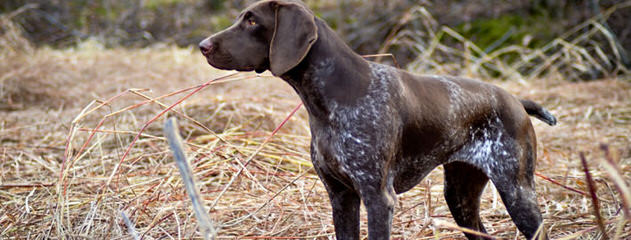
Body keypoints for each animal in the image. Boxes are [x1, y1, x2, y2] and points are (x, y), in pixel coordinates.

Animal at [200, 0, 556, 239]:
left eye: (251, 21)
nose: (203, 45)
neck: (330, 97)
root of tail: (515, 101)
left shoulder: (377, 198)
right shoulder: (341, 197)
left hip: (517, 189)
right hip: (461, 196)